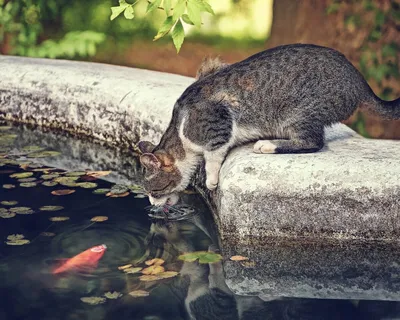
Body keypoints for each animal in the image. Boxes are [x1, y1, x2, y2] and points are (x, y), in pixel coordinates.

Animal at [138, 43, 400, 206]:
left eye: (154, 191)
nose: (152, 203)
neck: (180, 128)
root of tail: (359, 82)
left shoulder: (219, 123)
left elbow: (214, 155)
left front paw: (211, 180)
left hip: (298, 112)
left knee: (312, 142)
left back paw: (267, 145)